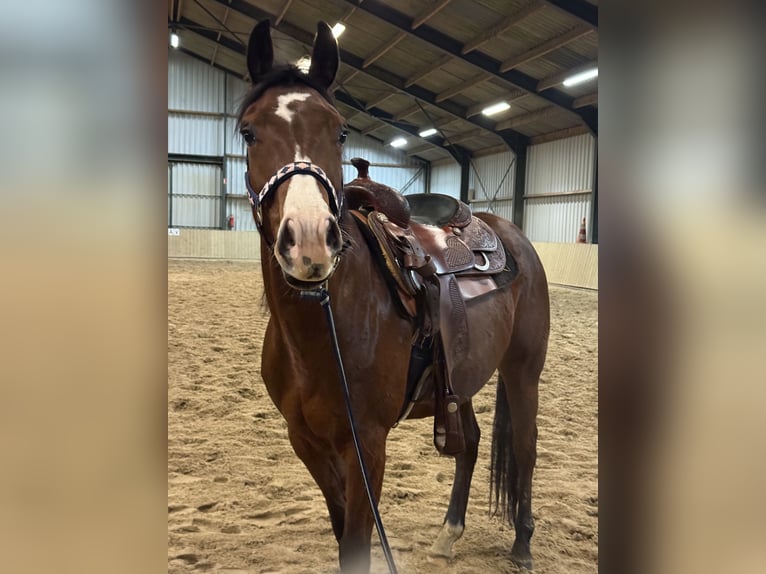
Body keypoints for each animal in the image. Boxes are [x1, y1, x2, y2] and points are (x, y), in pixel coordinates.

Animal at [238, 20, 550, 573]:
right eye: (249, 132)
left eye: (340, 131)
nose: (310, 241)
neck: (324, 331)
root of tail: (509, 231)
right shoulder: (307, 443)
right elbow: (342, 532)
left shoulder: (367, 446)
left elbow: (358, 545)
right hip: (460, 379)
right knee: (469, 443)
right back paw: (448, 534)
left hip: (522, 369)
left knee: (526, 448)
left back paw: (522, 544)